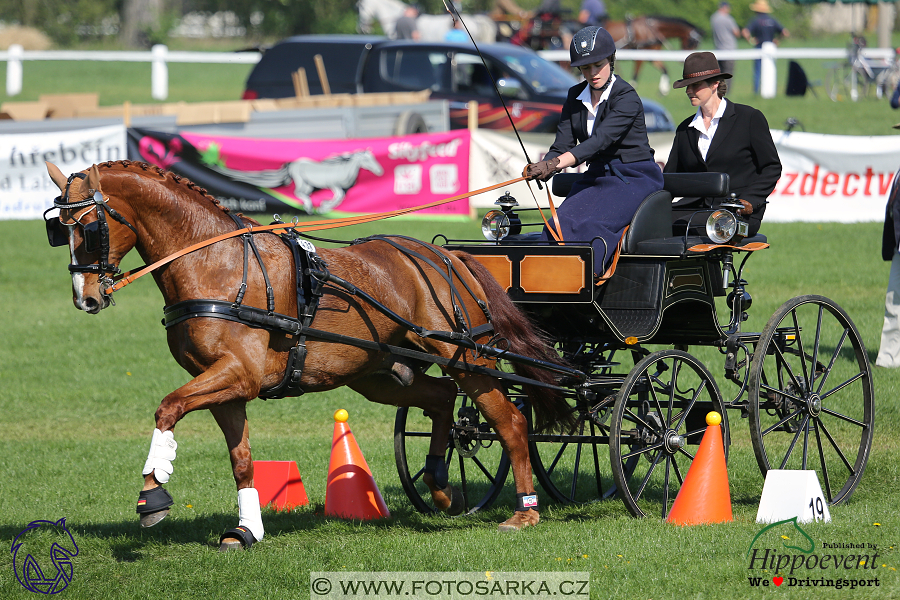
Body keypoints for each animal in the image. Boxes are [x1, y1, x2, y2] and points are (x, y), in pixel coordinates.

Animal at [47, 159, 568, 548]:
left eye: (89, 228)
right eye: (57, 230)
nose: (84, 298)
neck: (215, 265)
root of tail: (444, 255)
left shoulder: (238, 374)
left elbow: (167, 408)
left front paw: (151, 497)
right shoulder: (226, 387)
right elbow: (241, 459)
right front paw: (247, 529)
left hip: (467, 358)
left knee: (509, 421)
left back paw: (524, 512)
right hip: (380, 373)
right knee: (441, 399)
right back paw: (439, 486)